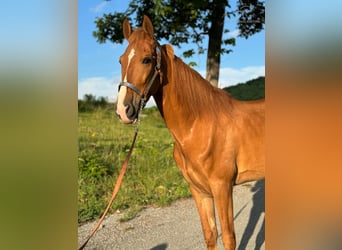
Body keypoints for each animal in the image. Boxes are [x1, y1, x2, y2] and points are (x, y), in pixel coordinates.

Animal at [115, 16, 264, 250]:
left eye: (147, 59)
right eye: (121, 61)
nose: (124, 110)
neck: (198, 127)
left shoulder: (222, 187)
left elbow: (229, 237)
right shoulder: (199, 190)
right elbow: (210, 234)